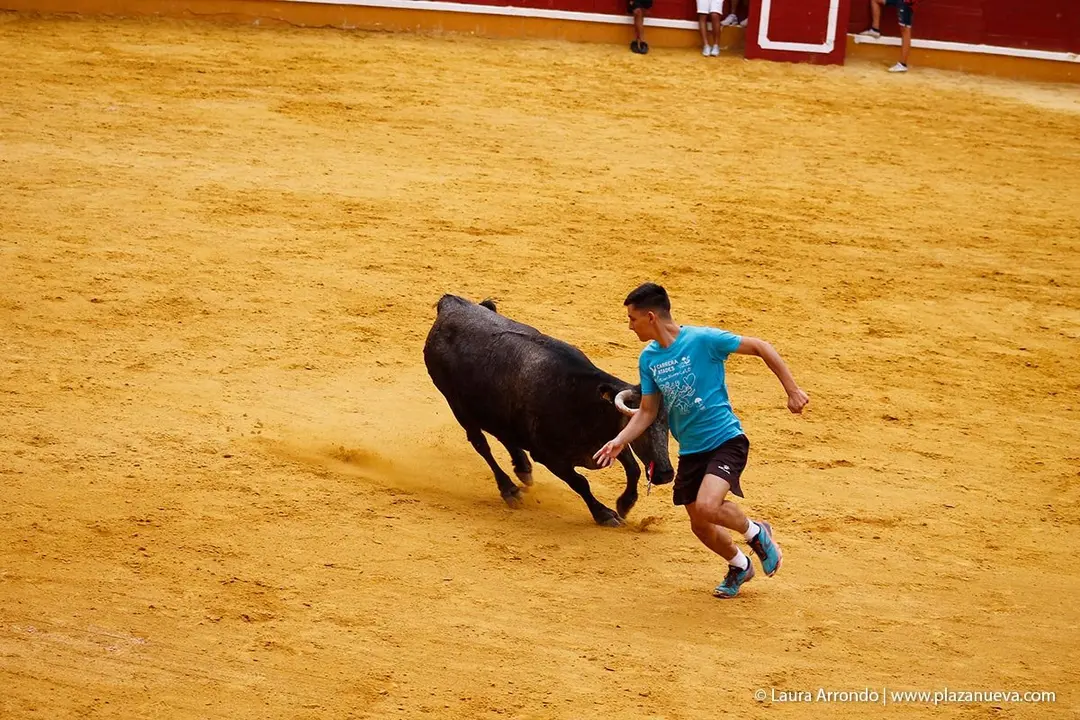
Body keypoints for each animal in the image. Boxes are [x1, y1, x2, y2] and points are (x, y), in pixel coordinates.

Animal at [423, 294, 675, 526]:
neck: (582, 403)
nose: (665, 474)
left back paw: (523, 468)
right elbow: (580, 482)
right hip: (458, 406)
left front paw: (625, 503)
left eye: (666, 423)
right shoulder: (550, 458)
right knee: (481, 445)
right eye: (640, 425)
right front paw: (604, 514)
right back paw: (509, 489)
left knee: (505, 435)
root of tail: (450, 303)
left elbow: (633, 468)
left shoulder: (610, 442)